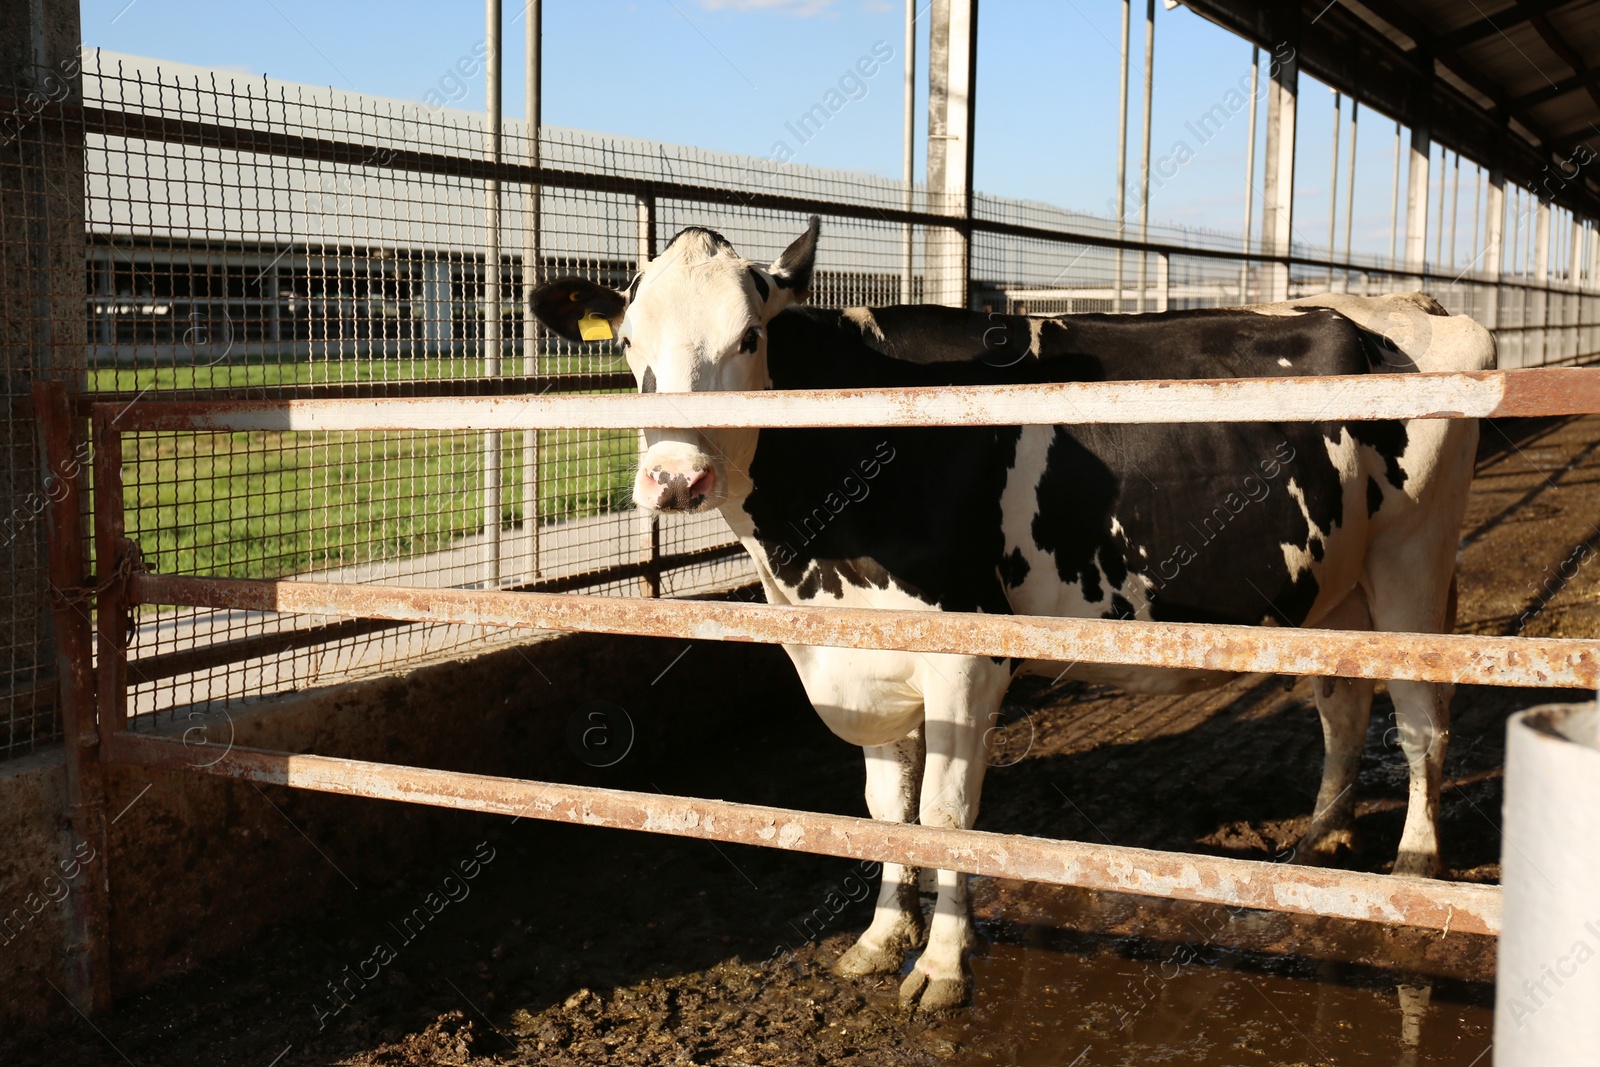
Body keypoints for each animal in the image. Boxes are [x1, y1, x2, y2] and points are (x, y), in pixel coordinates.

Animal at [531, 214, 1491, 1011]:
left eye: (750, 335)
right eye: (627, 342)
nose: (675, 478)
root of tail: (1412, 306)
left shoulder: (966, 653)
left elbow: (949, 817)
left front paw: (942, 966)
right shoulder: (865, 650)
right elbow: (887, 808)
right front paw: (882, 938)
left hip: (1411, 562)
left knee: (1421, 716)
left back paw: (1415, 862)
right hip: (1340, 581)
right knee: (1344, 702)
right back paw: (1324, 835)